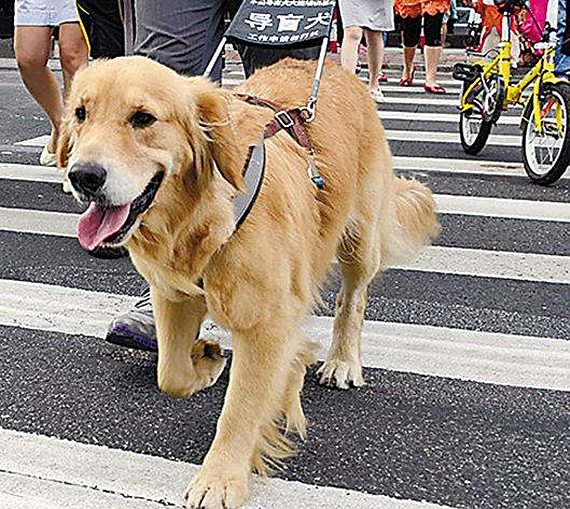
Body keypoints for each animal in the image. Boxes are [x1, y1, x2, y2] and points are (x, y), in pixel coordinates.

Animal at [57, 56, 438, 508]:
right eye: (81, 114)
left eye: (143, 118)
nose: (82, 176)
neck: (203, 216)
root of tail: (332, 65)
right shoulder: (171, 295)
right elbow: (170, 374)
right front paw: (205, 360)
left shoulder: (264, 322)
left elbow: (240, 408)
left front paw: (220, 479)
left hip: (360, 239)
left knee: (353, 298)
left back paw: (343, 360)